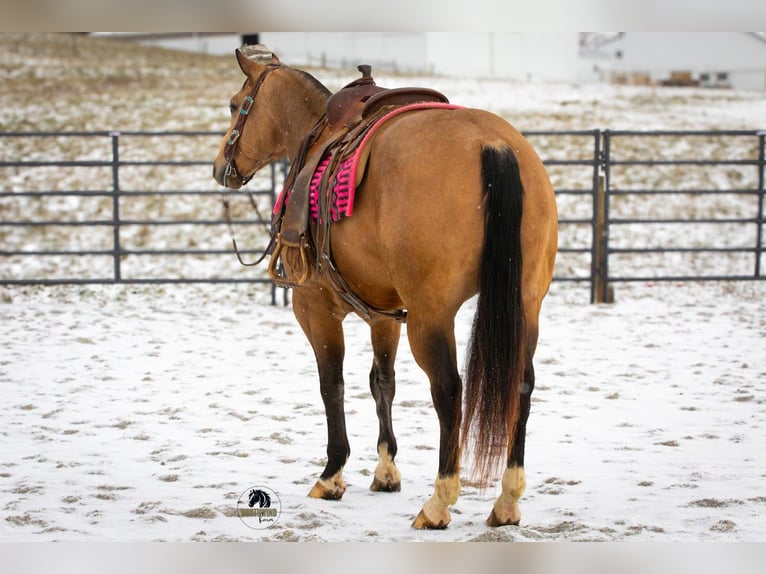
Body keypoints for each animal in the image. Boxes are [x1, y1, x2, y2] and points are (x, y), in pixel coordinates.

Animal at [213, 46, 558, 529]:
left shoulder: (315, 307)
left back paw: (438, 502)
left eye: (234, 105)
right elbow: (382, 382)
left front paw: (332, 475)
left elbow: (332, 384)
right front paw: (386, 470)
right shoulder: (384, 313)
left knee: (449, 390)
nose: (220, 168)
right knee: (520, 386)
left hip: (432, 316)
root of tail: (495, 146)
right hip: (525, 304)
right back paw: (507, 501)